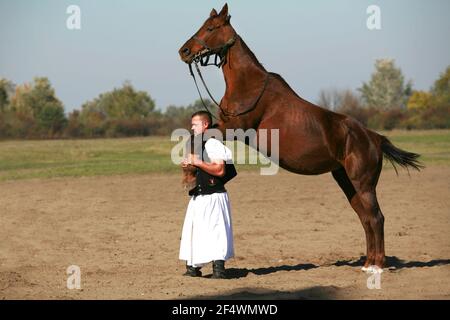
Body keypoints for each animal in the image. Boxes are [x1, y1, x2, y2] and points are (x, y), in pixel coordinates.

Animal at [178, 3, 422, 272]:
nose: (184, 51)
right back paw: (368, 262)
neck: (248, 86)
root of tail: (374, 138)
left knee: (377, 217)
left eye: (210, 28)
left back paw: (377, 265)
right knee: (366, 218)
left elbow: (197, 137)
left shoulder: (233, 128)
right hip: (346, 181)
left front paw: (189, 174)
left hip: (364, 183)